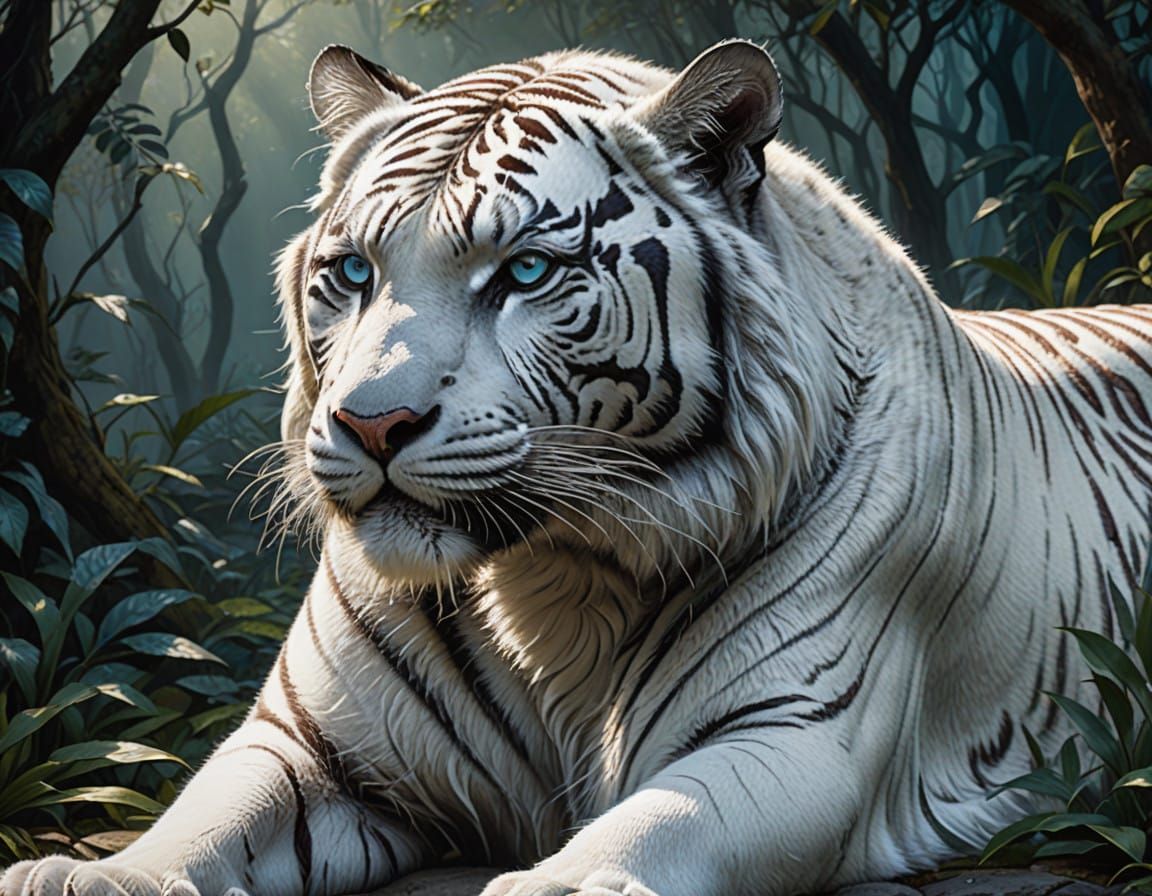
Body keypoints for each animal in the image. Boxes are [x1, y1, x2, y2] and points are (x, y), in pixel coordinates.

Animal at [5, 36, 1152, 896]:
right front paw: (90, 874)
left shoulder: (792, 733)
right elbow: (206, 813)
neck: (548, 576)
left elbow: (661, 822)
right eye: (353, 272)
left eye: (524, 272)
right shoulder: (310, 744)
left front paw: (549, 882)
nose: (374, 424)